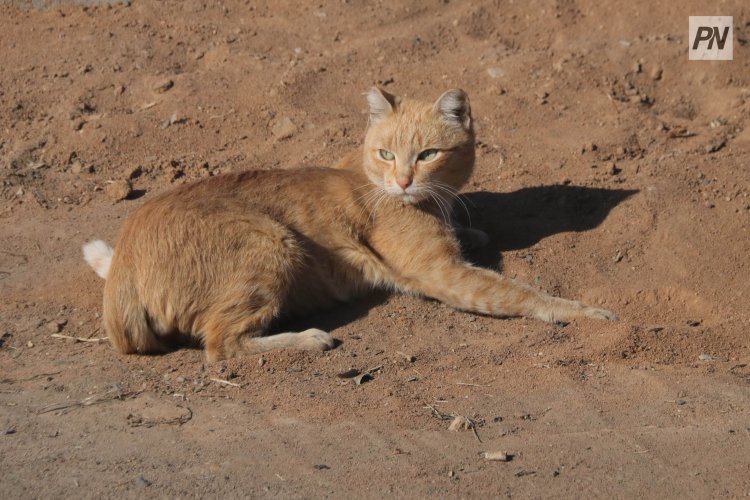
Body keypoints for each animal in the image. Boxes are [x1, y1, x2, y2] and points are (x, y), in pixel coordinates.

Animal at [82, 88, 616, 362]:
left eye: (428, 154)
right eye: (387, 153)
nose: (403, 181)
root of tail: (126, 258)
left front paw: (472, 230)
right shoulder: (441, 275)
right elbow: (522, 293)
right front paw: (583, 313)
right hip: (273, 242)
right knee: (220, 346)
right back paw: (309, 339)